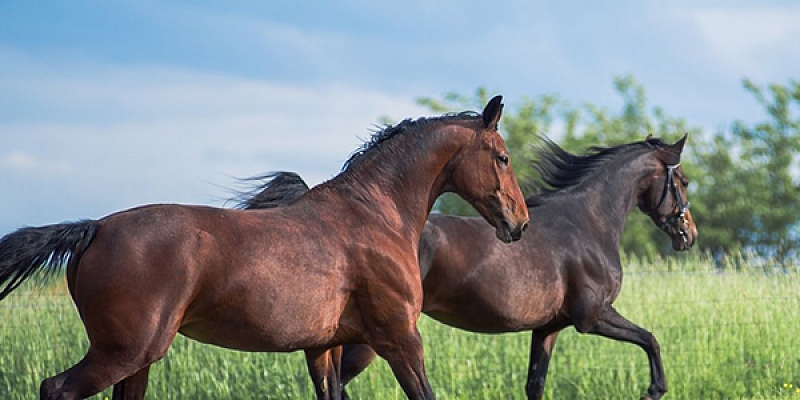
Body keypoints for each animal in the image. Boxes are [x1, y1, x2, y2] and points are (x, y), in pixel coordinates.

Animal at [0, 95, 528, 398]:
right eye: (503, 157)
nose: (519, 224)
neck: (374, 215)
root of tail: (94, 229)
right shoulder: (401, 339)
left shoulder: (323, 348)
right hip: (123, 353)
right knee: (55, 389)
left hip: (136, 362)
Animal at [241, 134, 696, 400]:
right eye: (685, 181)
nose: (687, 234)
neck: (588, 222)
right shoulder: (593, 316)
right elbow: (651, 340)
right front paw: (653, 390)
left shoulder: (548, 328)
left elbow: (535, 384)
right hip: (375, 340)